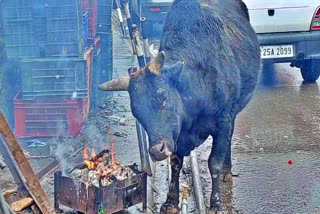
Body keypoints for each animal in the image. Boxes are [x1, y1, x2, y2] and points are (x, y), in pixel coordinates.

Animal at [100, 0, 260, 211]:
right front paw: (170, 201)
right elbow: (175, 163)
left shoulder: (223, 120)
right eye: (137, 112)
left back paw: (227, 170)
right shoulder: (176, 134)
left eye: (164, 97)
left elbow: (214, 162)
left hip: (233, 113)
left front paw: (216, 202)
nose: (156, 151)